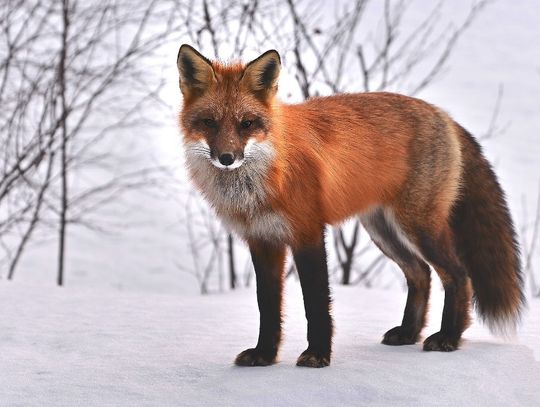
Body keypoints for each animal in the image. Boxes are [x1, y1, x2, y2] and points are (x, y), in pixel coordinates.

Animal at [177, 45, 524, 370]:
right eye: (209, 123)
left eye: (246, 124)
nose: (226, 158)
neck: (264, 177)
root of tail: (442, 114)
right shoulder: (262, 241)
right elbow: (268, 306)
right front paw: (264, 355)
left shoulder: (308, 233)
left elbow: (316, 303)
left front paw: (317, 355)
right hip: (383, 230)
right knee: (420, 273)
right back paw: (409, 333)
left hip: (418, 226)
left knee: (458, 275)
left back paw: (449, 337)